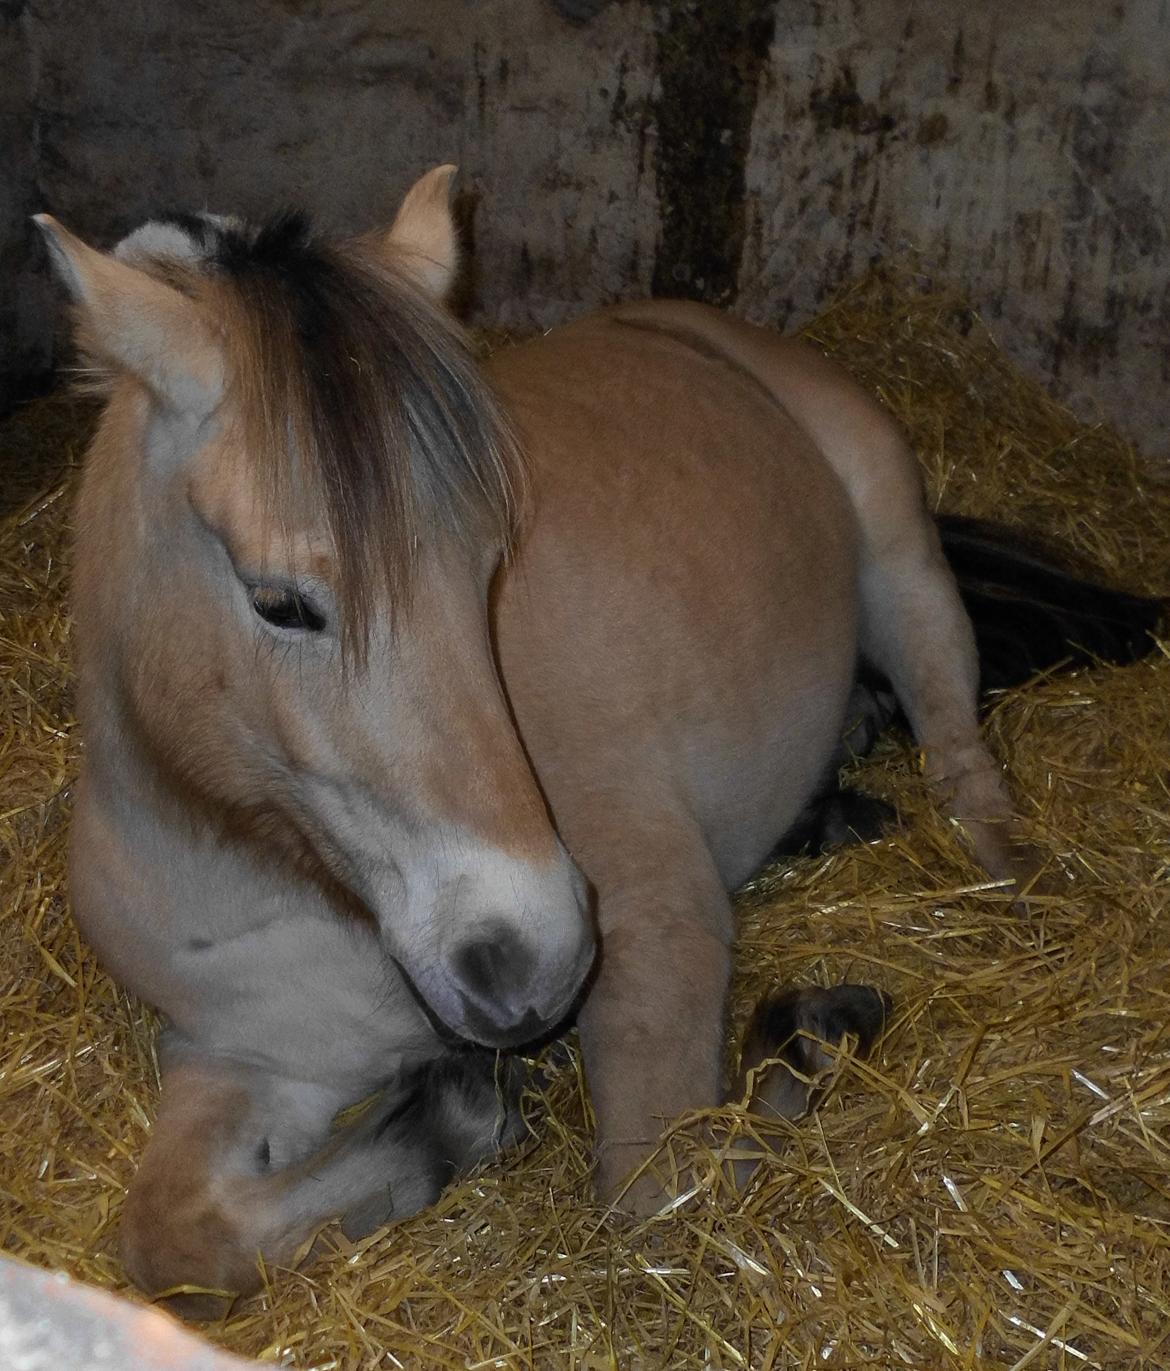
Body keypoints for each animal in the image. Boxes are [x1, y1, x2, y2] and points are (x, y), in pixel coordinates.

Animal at [38, 163, 1157, 1305]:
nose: (530, 960)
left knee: (955, 743)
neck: (292, 885)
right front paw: (445, 1120)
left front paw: (808, 1035)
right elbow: (173, 1238)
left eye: (490, 566)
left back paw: (1013, 869)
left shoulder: (655, 927)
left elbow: (667, 1201)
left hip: (900, 560)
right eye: (279, 603)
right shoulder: (250, 1058)